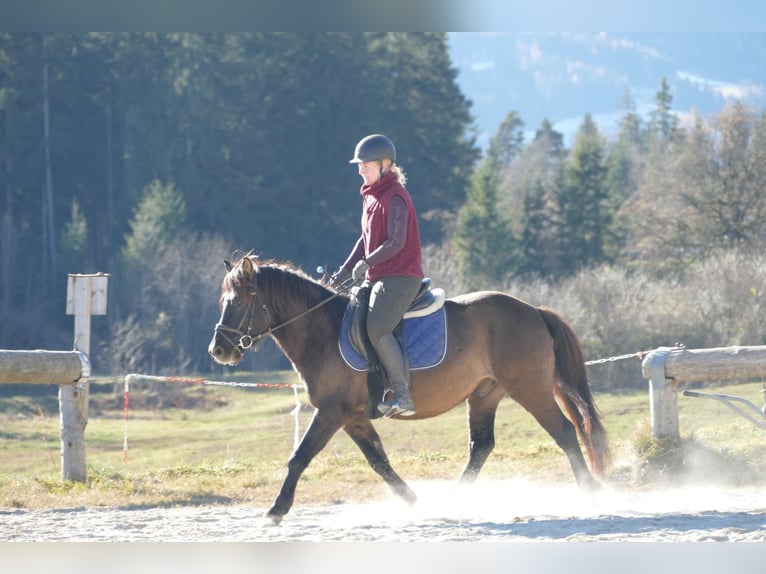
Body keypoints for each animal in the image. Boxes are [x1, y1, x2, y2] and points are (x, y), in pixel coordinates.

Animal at [206, 255, 612, 528]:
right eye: (222, 301)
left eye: (237, 302)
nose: (218, 350)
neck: (322, 331)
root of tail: (533, 310)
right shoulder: (351, 418)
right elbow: (378, 460)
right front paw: (413, 500)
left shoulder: (331, 413)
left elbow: (299, 457)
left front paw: (275, 510)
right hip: (484, 395)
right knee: (481, 446)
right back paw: (455, 500)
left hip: (530, 389)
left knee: (565, 433)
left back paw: (590, 494)